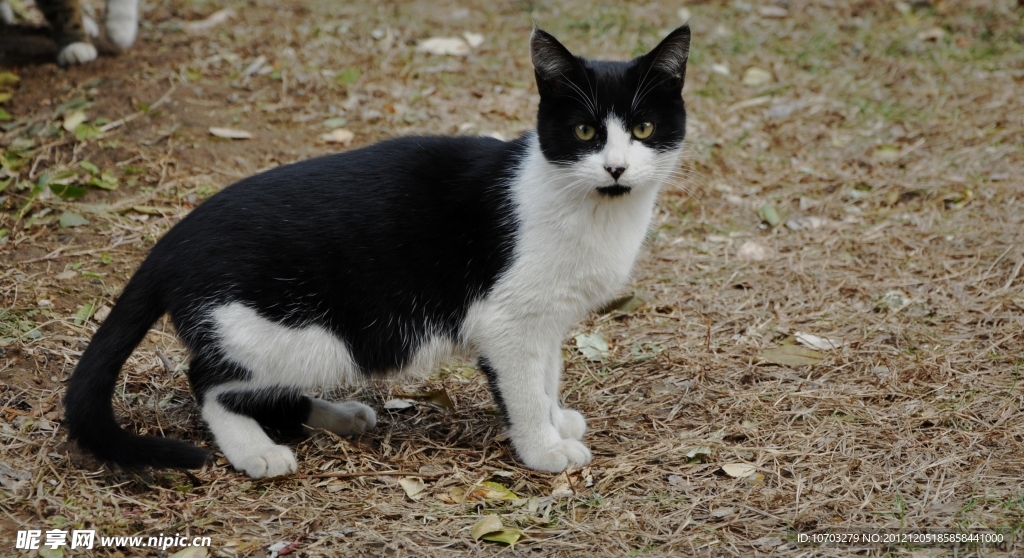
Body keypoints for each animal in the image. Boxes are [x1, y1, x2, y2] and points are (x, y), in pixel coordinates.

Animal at [61, 25, 688, 479]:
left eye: (644, 127)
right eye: (584, 132)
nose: (616, 167)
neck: (590, 207)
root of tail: (174, 239)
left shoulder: (548, 321)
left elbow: (549, 375)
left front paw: (559, 421)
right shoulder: (509, 321)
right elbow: (524, 391)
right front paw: (543, 447)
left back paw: (338, 417)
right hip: (297, 335)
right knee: (210, 383)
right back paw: (256, 452)